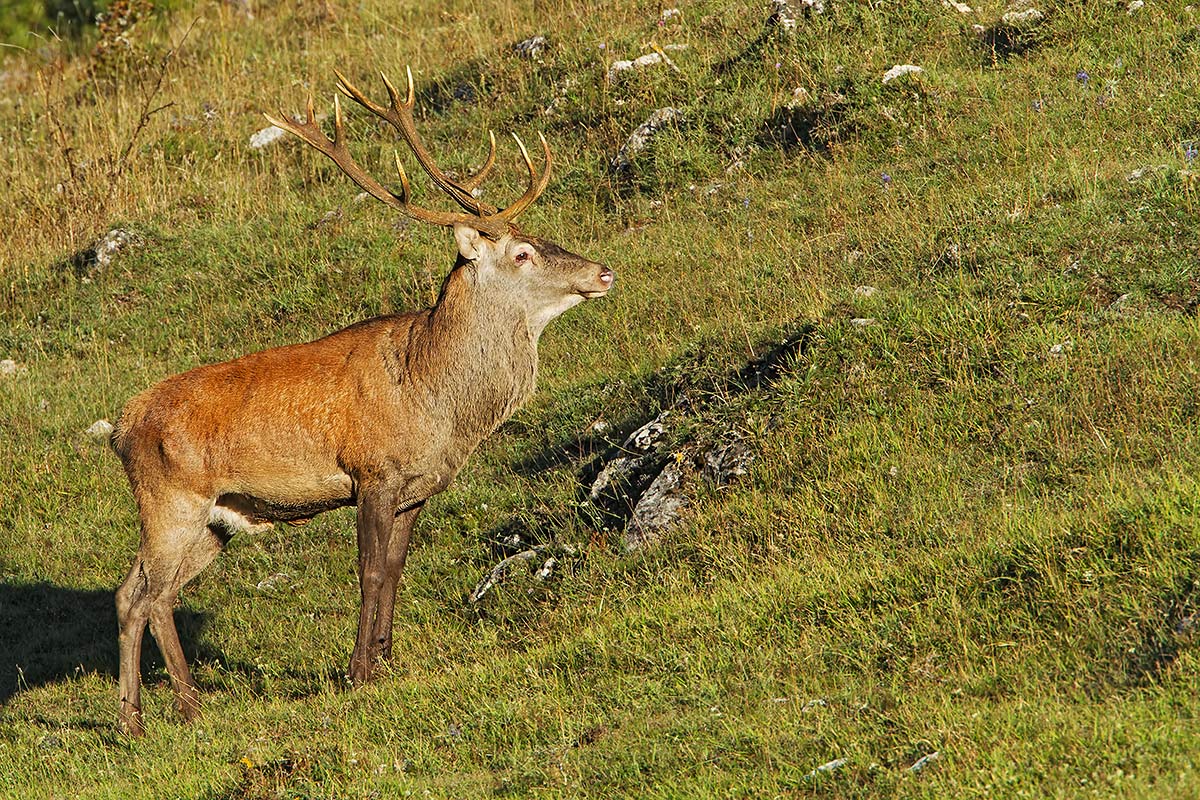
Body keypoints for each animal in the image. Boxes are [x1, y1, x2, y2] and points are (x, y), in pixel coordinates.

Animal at [110, 67, 614, 736]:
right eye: (522, 253)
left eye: (538, 237)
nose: (603, 272)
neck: (437, 399)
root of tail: (120, 428)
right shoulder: (373, 472)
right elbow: (369, 571)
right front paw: (357, 674)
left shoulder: (417, 487)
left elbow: (396, 570)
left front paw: (387, 660)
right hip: (171, 499)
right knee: (152, 593)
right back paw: (187, 708)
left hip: (216, 519)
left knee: (131, 592)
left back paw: (133, 721)